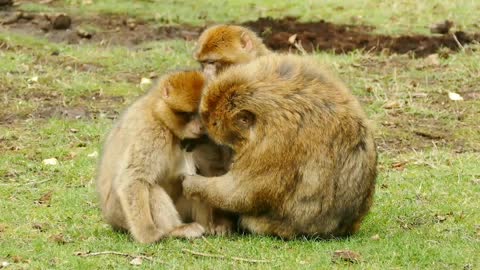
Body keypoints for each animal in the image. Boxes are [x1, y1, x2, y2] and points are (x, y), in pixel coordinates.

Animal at [96, 69, 209, 243]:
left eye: (202, 114)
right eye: (188, 114)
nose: (201, 126)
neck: (158, 112)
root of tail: (110, 219)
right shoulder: (150, 132)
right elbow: (133, 180)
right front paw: (147, 233)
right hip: (120, 214)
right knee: (151, 188)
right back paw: (175, 230)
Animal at [182, 54, 376, 238]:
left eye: (215, 125)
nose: (230, 157)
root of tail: (345, 228)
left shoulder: (273, 143)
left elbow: (243, 193)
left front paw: (193, 184)